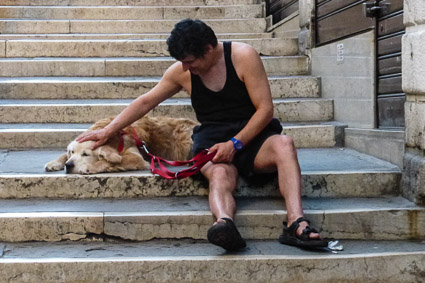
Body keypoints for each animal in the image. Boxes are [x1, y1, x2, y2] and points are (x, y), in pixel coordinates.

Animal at [44, 116, 197, 174]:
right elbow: (63, 155)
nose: (68, 166)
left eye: (86, 154)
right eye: (72, 152)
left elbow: (111, 161)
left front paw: (90, 167)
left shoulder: (137, 157)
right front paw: (55, 162)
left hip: (186, 140)